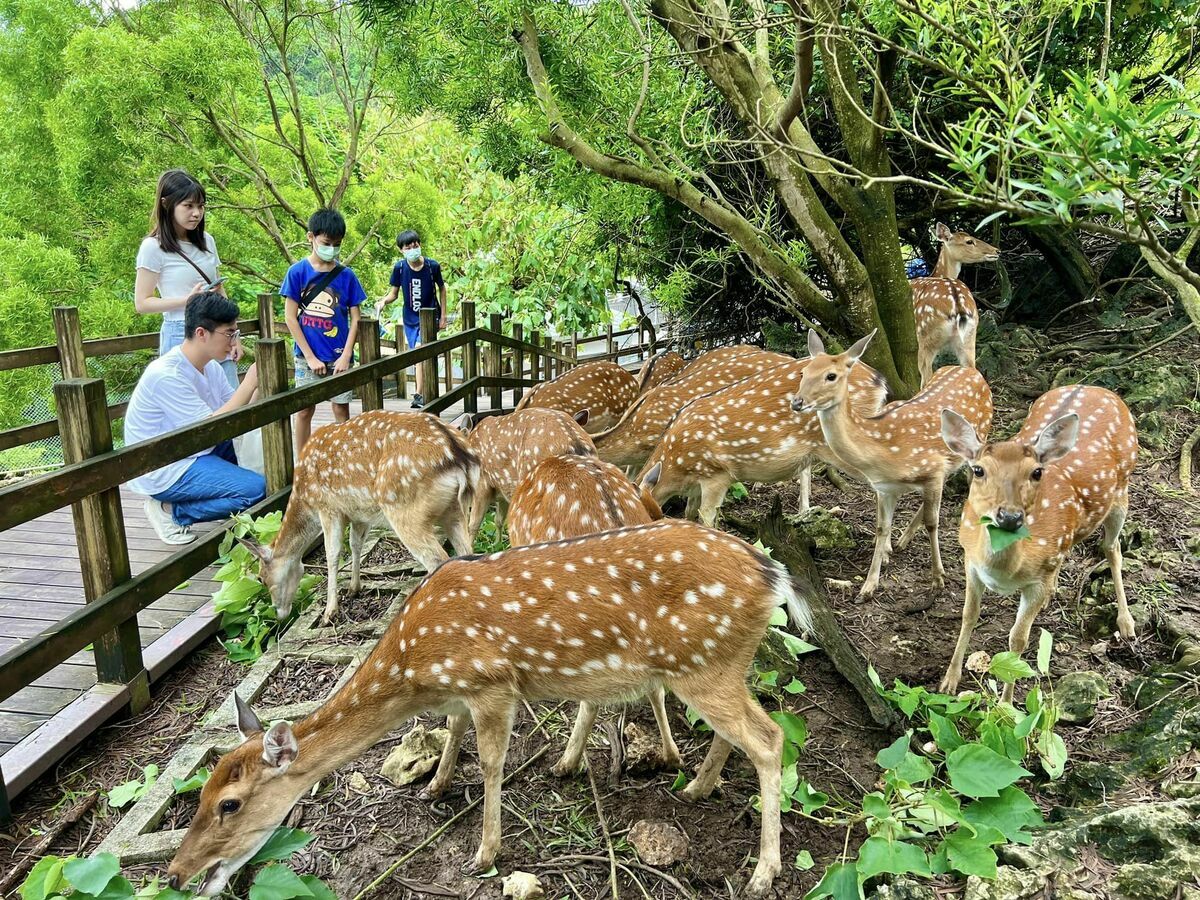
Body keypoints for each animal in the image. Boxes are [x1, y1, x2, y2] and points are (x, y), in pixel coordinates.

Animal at [166, 519, 814, 898]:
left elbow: (494, 762)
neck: (414, 664)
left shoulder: (490, 683)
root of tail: (775, 575)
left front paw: (484, 853)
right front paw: (434, 786)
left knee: (770, 738)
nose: (175, 873)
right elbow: (451, 733)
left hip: (702, 664)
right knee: (746, 730)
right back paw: (697, 788)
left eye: (229, 803)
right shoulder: (459, 692)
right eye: (200, 792)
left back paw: (762, 873)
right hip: (720, 666)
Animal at [237, 411, 478, 623]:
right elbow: (355, 544)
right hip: (454, 511)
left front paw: (329, 613)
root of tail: (459, 455)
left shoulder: (328, 508)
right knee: (466, 551)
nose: (279, 614)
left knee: (439, 560)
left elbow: (332, 554)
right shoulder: (360, 514)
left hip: (405, 510)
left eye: (261, 578)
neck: (304, 499)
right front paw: (354, 588)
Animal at [792, 330, 993, 600]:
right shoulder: (886, 488)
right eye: (804, 372)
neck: (885, 449)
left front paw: (938, 579)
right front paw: (868, 586)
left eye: (831, 376)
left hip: (979, 439)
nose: (797, 402)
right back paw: (902, 540)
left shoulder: (932, 470)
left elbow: (933, 524)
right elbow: (881, 528)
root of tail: (971, 370)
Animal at [912, 223, 1000, 386]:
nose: (997, 251)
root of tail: (959, 308)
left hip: (925, 337)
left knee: (926, 377)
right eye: (969, 241)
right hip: (970, 336)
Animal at [939, 385, 1138, 700]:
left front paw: (1007, 705)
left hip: (1122, 491)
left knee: (1113, 549)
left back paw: (1126, 622)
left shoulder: (1035, 582)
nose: (1009, 516)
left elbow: (1017, 640)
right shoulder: (970, 560)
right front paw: (949, 680)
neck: (1004, 572)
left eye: (1036, 472)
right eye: (978, 470)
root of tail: (1096, 387)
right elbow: (968, 615)